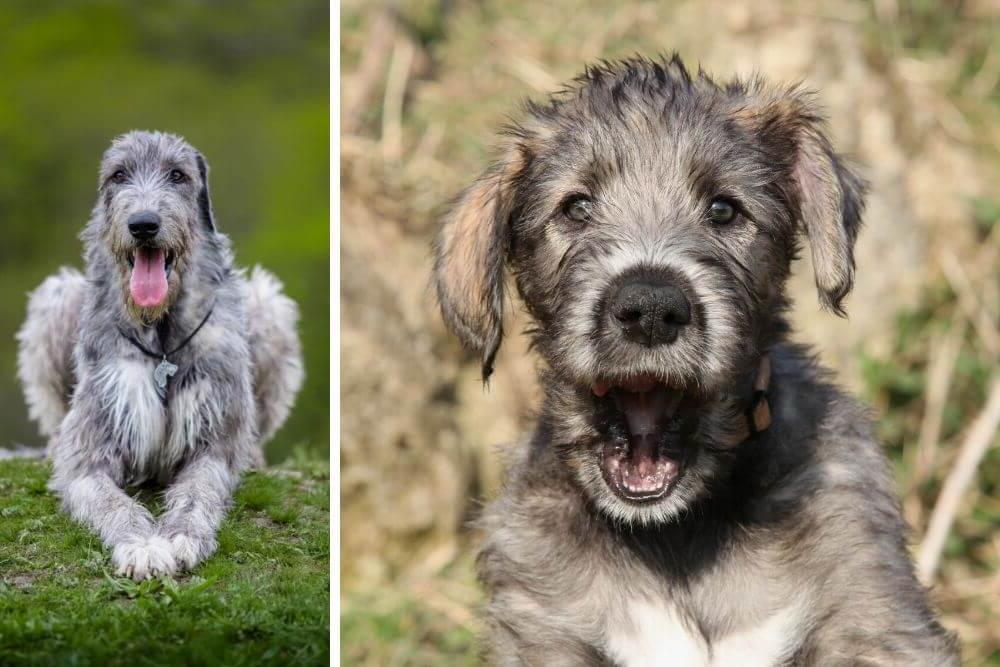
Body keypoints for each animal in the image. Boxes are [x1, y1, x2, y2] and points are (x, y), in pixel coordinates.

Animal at [432, 58, 960, 667]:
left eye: (724, 209)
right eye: (576, 207)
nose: (650, 309)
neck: (674, 533)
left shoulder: (871, 608)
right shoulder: (544, 621)